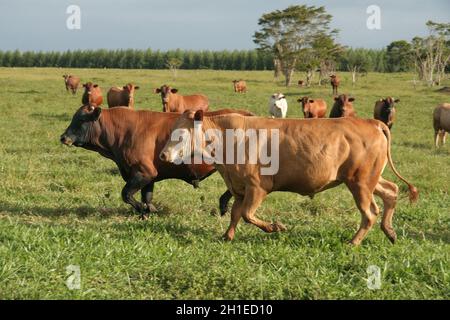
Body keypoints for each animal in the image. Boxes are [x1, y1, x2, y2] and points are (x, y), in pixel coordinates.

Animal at [60, 106, 253, 219]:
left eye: (81, 119)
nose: (63, 137)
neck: (124, 131)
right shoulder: (149, 176)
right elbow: (147, 197)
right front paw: (148, 211)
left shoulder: (143, 172)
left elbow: (127, 194)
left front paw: (143, 210)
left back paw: (223, 205)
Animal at [159, 110, 418, 245]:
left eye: (182, 134)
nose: (162, 154)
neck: (229, 138)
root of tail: (371, 122)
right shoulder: (239, 187)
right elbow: (235, 214)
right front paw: (227, 236)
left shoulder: (257, 187)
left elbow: (247, 214)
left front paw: (275, 227)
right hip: (369, 179)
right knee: (391, 191)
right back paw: (390, 231)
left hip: (360, 183)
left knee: (370, 212)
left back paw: (354, 241)